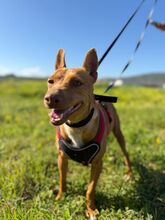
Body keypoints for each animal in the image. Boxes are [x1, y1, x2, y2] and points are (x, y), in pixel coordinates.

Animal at [44, 48, 133, 218]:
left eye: (77, 83)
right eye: (50, 81)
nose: (50, 99)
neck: (76, 125)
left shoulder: (97, 164)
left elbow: (90, 189)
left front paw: (91, 209)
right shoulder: (61, 158)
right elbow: (62, 179)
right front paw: (60, 197)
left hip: (119, 135)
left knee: (126, 154)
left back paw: (130, 173)